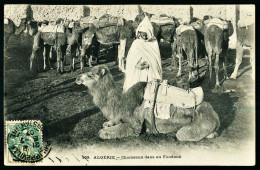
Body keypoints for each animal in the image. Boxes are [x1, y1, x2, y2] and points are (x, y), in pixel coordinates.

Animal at [75, 65, 219, 141]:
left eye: (90, 75)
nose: (77, 78)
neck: (121, 102)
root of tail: (214, 114)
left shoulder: (135, 125)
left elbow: (102, 132)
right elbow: (107, 124)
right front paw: (108, 123)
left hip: (197, 124)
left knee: (183, 134)